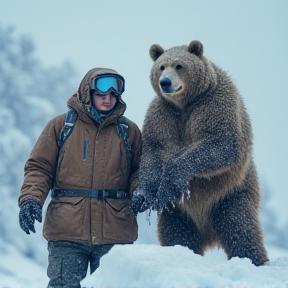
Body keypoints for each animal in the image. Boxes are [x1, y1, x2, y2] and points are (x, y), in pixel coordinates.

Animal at [132, 40, 268, 266]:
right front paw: (142, 196)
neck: (186, 103)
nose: (165, 82)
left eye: (179, 65)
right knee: (178, 235)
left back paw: (254, 260)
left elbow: (221, 142)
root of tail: (209, 234)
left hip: (230, 196)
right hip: (179, 213)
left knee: (241, 230)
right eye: (161, 66)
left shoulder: (214, 104)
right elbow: (155, 150)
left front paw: (172, 179)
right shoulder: (163, 114)